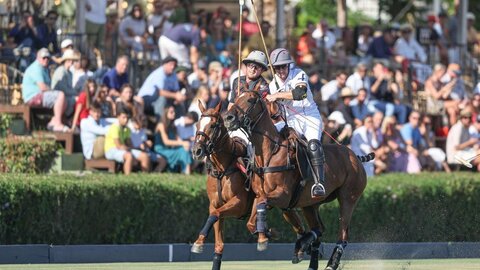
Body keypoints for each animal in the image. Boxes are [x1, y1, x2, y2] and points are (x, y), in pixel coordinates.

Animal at [189, 102, 306, 270]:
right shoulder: (214, 204)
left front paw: (198, 243)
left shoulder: (239, 203)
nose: (196, 151)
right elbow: (218, 237)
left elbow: (215, 214)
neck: (222, 169)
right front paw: (199, 243)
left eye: (213, 125)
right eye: (197, 124)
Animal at [223, 91, 374, 270]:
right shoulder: (262, 195)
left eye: (251, 99)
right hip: (310, 204)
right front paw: (267, 234)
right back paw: (307, 252)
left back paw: (330, 263)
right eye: (236, 98)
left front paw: (267, 235)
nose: (228, 118)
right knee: (319, 228)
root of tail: (355, 156)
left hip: (348, 197)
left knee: (343, 233)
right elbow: (252, 221)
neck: (269, 153)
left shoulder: (283, 194)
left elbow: (262, 205)